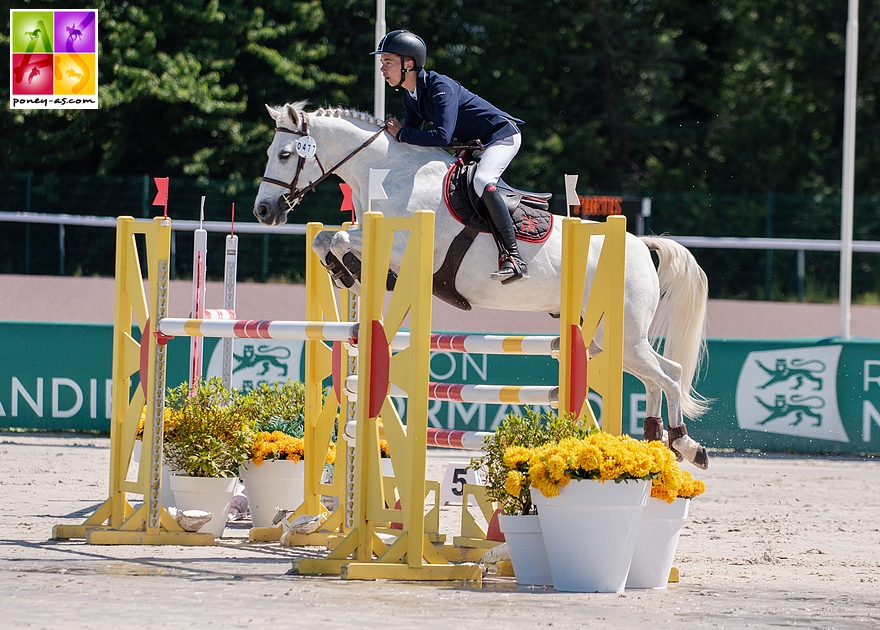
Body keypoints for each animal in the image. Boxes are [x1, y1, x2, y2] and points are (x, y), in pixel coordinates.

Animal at [253, 102, 708, 470]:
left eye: (285, 154)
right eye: (273, 154)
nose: (262, 211)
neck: (391, 175)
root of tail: (640, 245)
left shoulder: (403, 244)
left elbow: (341, 237)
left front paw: (346, 266)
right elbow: (325, 238)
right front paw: (345, 272)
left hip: (622, 337)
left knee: (670, 377)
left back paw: (686, 445)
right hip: (605, 339)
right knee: (661, 375)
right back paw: (656, 441)